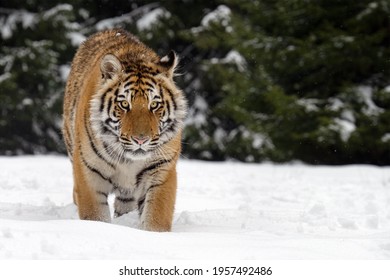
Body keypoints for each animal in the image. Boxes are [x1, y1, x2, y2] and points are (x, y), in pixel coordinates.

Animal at [62, 29, 187, 232]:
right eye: (124, 104)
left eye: (154, 105)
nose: (141, 140)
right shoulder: (89, 172)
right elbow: (95, 216)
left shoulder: (161, 169)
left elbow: (156, 216)